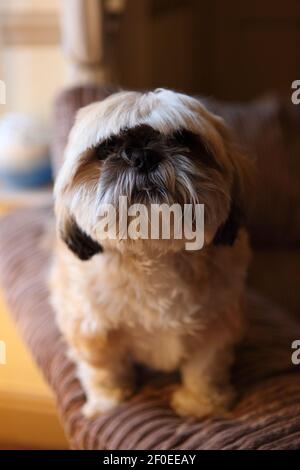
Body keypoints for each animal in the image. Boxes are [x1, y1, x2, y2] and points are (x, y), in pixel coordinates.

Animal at [50, 89, 252, 418]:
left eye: (183, 138)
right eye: (107, 147)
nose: (142, 156)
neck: (154, 253)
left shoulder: (217, 325)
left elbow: (206, 367)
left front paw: (202, 403)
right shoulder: (91, 329)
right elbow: (103, 370)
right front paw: (108, 400)